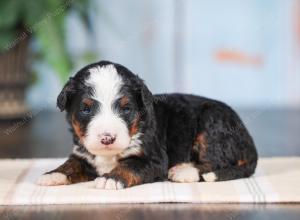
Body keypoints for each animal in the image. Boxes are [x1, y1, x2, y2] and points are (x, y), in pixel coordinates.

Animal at [37, 59, 258, 189]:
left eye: (126, 108)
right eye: (86, 109)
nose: (107, 138)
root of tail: (249, 141)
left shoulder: (154, 159)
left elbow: (130, 165)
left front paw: (111, 178)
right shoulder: (83, 155)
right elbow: (71, 164)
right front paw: (54, 174)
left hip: (211, 121)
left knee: (218, 160)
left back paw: (184, 171)